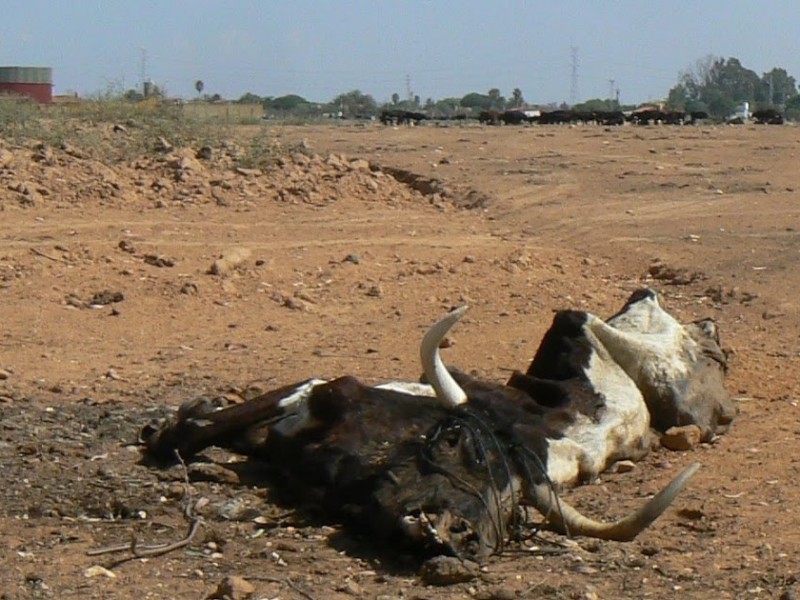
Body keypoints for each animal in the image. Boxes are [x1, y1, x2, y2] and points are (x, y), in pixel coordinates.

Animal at [142, 290, 732, 564]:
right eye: (456, 443)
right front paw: (173, 427)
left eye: (516, 508)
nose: (455, 537)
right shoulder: (328, 390)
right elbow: (189, 432)